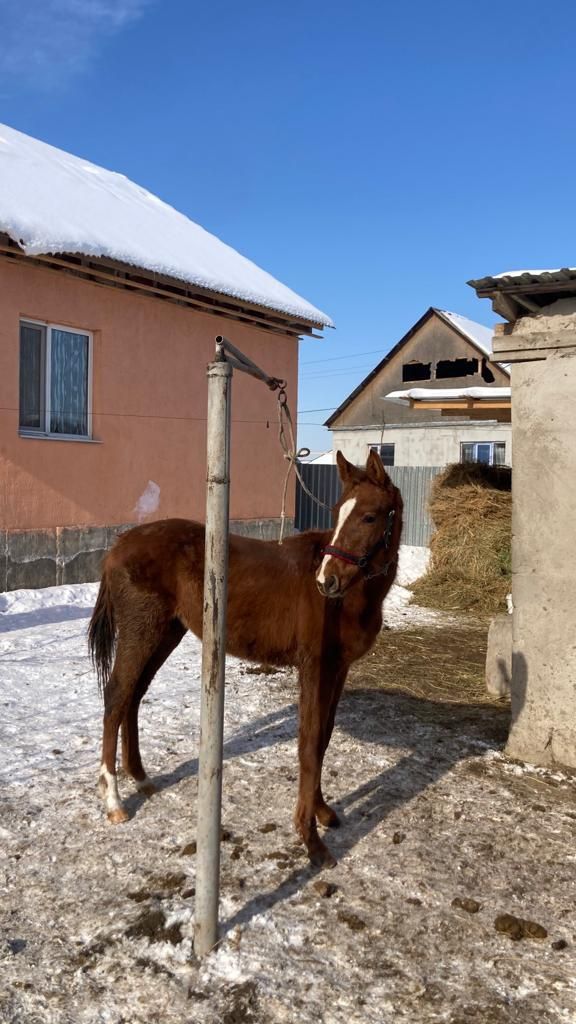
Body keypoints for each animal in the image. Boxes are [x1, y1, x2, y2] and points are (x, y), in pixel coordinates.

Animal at [89, 448, 401, 864]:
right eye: (338, 513)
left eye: (369, 516)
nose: (326, 580)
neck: (347, 601)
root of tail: (118, 546)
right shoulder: (314, 668)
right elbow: (308, 744)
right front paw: (311, 840)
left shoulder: (339, 669)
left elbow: (324, 738)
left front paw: (323, 813)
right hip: (143, 631)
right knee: (116, 697)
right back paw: (114, 801)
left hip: (166, 632)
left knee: (133, 697)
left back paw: (140, 777)